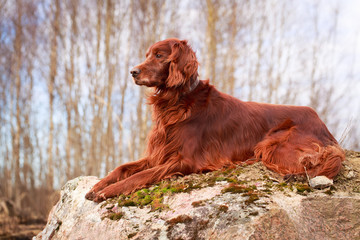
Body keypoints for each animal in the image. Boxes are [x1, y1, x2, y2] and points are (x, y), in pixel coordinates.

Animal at [86, 38, 344, 202]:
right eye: (147, 55)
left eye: (159, 55)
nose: (133, 72)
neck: (177, 101)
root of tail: (321, 122)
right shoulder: (159, 153)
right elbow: (123, 167)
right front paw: (98, 185)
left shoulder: (185, 160)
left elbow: (140, 175)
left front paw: (108, 191)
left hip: (272, 144)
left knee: (313, 165)